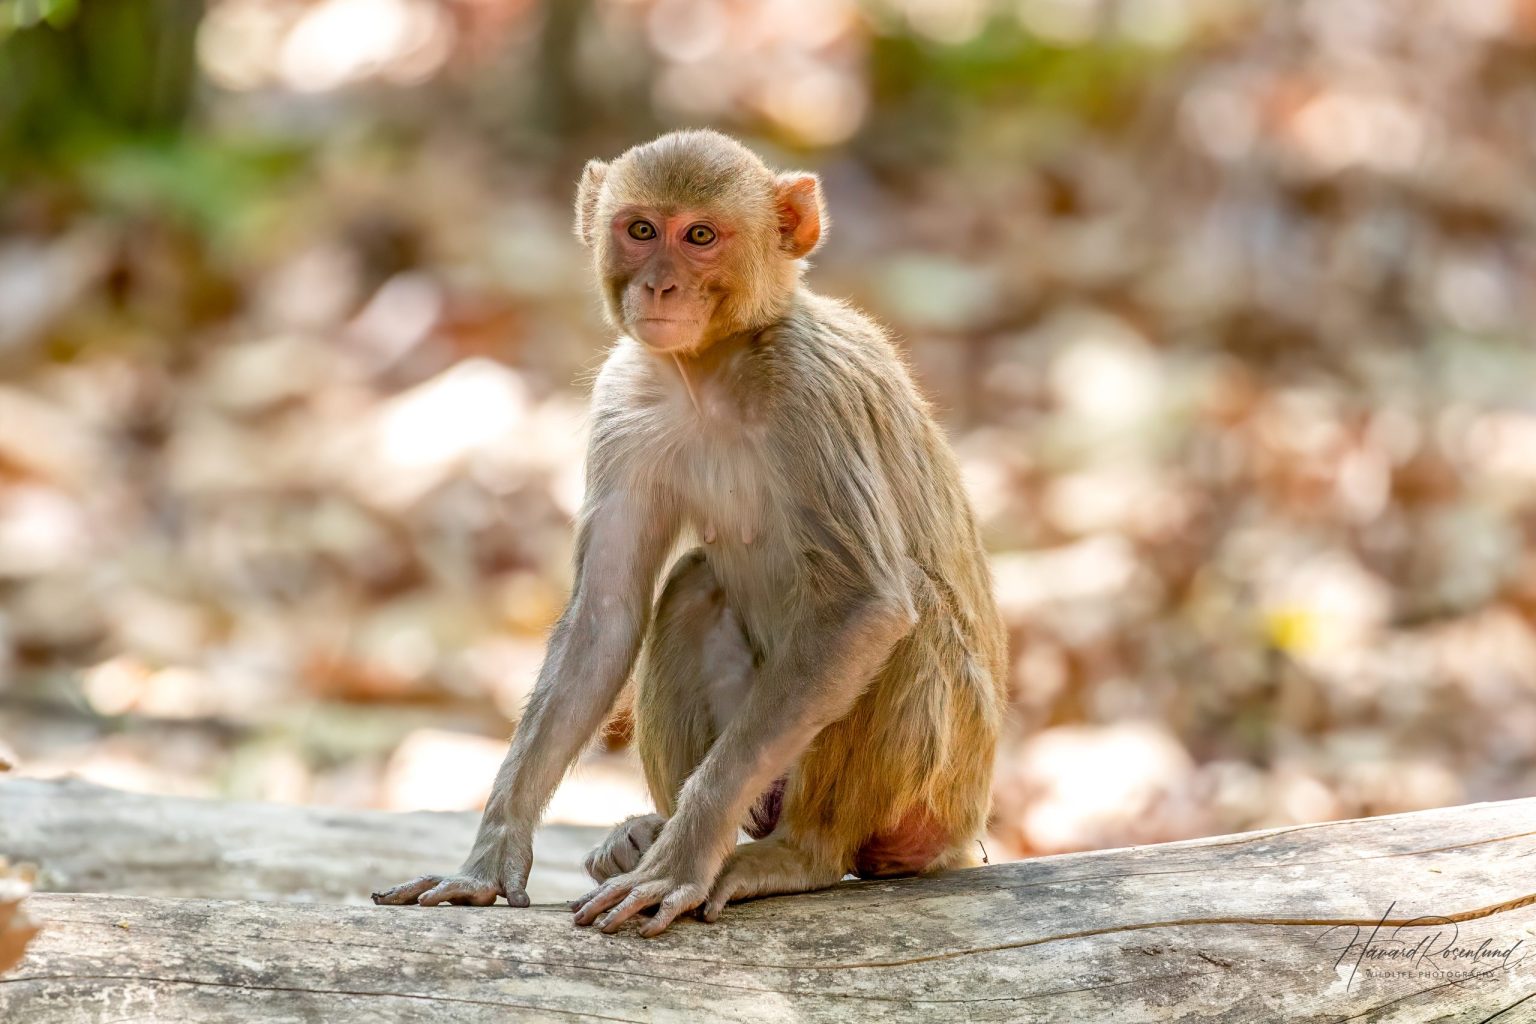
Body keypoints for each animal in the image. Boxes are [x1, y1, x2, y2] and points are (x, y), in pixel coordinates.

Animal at [373, 129, 1008, 937]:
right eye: (642, 230)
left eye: (700, 237)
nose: (659, 288)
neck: (713, 370)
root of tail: (964, 834)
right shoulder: (626, 395)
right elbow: (605, 618)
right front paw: (487, 861)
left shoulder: (812, 390)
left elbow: (865, 607)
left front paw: (682, 858)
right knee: (692, 587)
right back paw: (649, 829)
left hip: (936, 793)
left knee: (907, 616)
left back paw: (797, 854)